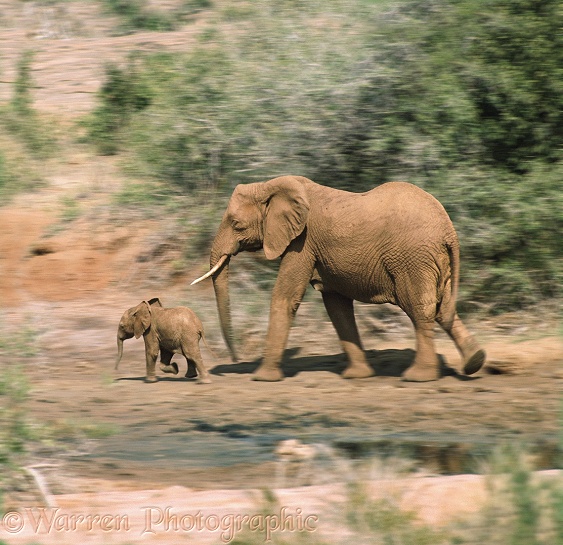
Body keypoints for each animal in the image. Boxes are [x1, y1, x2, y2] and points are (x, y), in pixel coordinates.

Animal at [193, 176, 484, 380]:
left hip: (413, 259)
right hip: (433, 259)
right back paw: (475, 362)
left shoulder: (302, 242)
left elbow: (285, 297)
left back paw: (418, 377)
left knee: (420, 308)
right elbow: (337, 307)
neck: (270, 186)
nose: (234, 359)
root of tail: (449, 230)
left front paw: (263, 378)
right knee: (443, 309)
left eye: (236, 225)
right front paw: (358, 376)